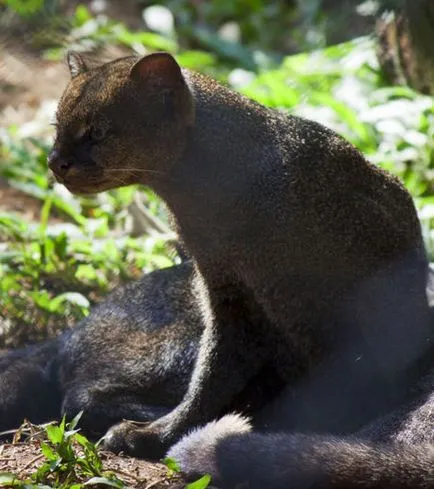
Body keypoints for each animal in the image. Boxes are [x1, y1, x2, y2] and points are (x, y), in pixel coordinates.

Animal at [48, 52, 434, 466]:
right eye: (57, 126)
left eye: (98, 132)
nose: (55, 161)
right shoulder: (231, 298)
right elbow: (210, 381)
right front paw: (158, 435)